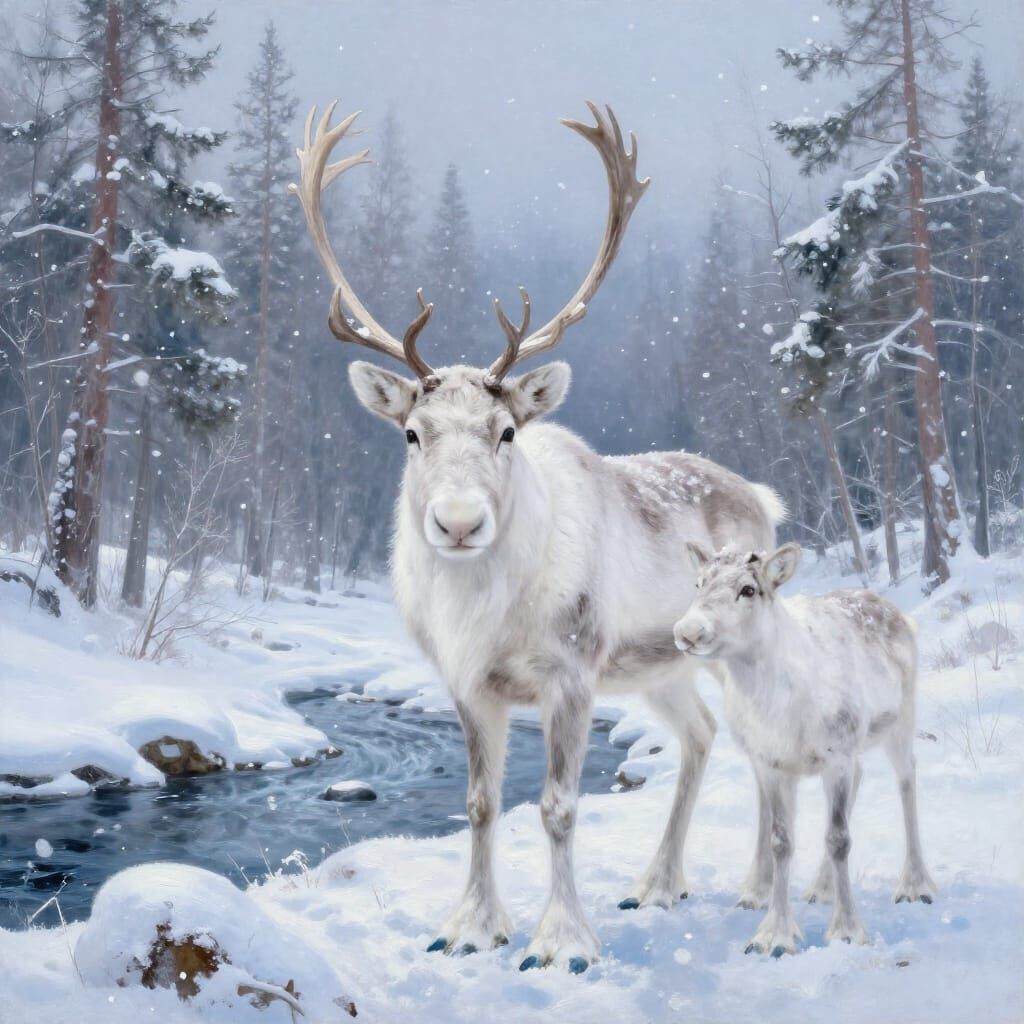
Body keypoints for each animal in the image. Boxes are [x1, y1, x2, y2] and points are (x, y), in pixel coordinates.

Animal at [289, 101, 785, 973]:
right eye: (411, 434)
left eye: (507, 431)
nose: (458, 522)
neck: (486, 615)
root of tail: (759, 497)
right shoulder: (467, 684)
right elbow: (482, 803)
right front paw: (471, 927)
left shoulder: (573, 675)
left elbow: (557, 806)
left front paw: (562, 941)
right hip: (659, 665)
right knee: (698, 736)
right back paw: (658, 883)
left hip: (730, 648)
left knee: (755, 744)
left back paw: (755, 889)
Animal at [673, 543, 936, 957]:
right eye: (698, 583)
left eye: (748, 589)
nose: (688, 632)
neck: (779, 704)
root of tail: (899, 614)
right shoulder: (773, 764)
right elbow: (781, 842)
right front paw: (773, 937)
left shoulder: (837, 755)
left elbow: (839, 838)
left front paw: (847, 931)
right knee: (864, 777)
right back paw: (820, 889)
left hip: (899, 722)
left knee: (907, 778)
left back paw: (915, 886)